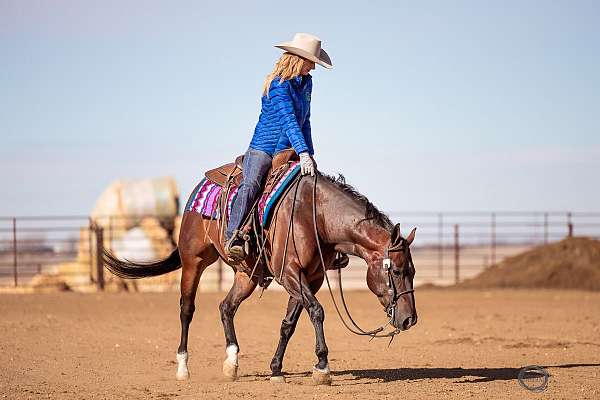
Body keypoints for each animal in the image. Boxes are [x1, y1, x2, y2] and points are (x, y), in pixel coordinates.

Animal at [103, 171, 418, 384]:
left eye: (412, 272)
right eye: (396, 271)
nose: (409, 320)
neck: (314, 215)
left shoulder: (311, 278)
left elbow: (289, 324)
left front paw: (276, 369)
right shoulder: (289, 273)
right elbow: (317, 311)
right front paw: (322, 367)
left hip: (247, 275)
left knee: (226, 307)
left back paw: (231, 363)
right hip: (194, 262)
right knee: (186, 310)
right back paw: (183, 368)